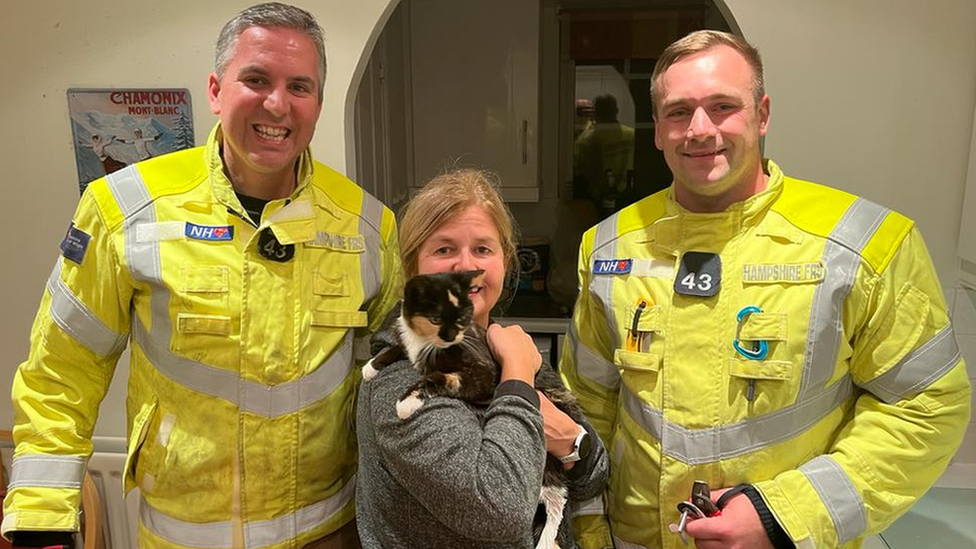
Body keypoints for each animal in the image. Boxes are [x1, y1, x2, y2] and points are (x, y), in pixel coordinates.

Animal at [360, 270, 584, 548]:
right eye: (436, 318)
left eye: (463, 317)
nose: (453, 335)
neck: (425, 342)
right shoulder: (410, 342)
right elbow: (396, 348)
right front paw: (371, 366)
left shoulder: (483, 372)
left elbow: (440, 377)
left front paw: (407, 402)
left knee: (557, 501)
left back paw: (545, 541)